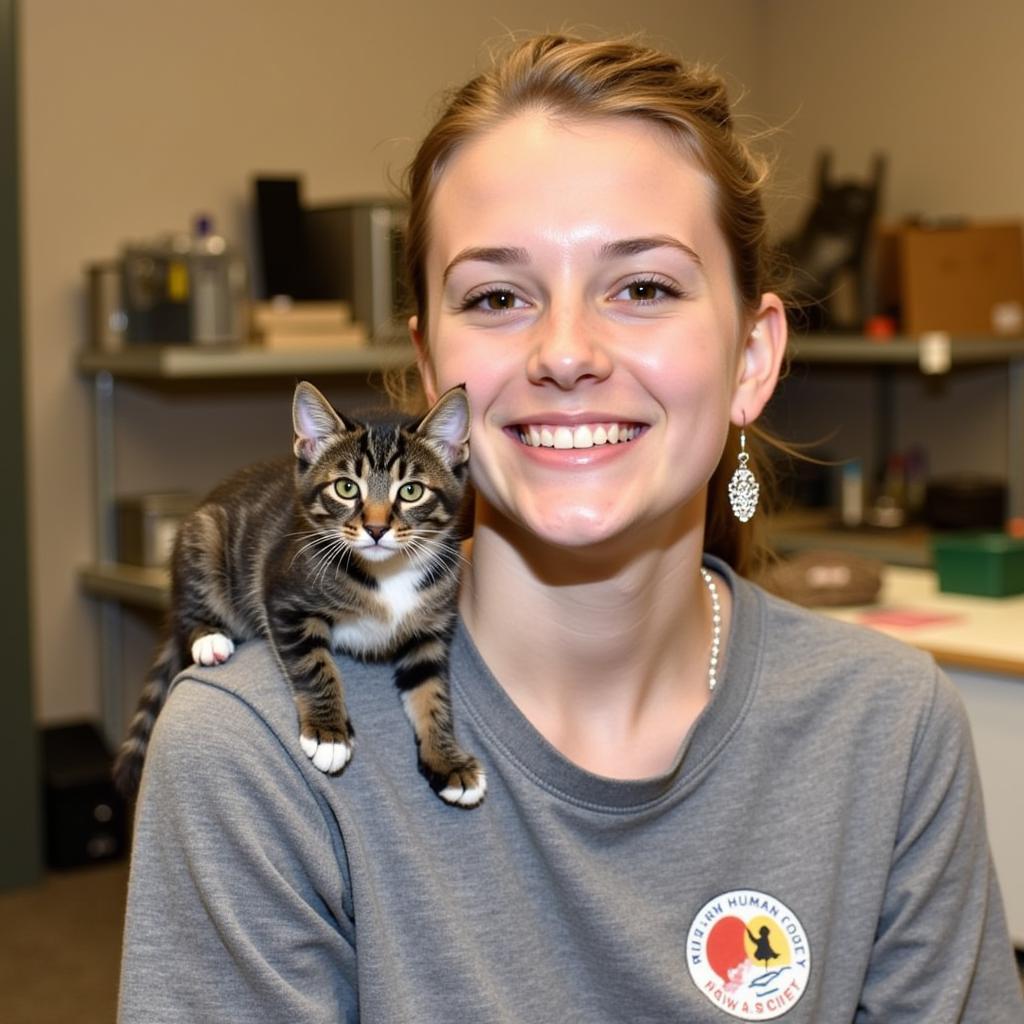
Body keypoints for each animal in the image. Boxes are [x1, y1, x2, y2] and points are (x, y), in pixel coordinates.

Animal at [110, 382, 485, 806]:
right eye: (346, 487)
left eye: (411, 491)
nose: (375, 529)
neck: (389, 573)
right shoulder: (285, 597)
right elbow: (314, 665)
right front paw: (329, 733)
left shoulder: (430, 632)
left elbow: (433, 691)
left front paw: (448, 761)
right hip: (202, 535)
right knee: (191, 604)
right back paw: (209, 637)